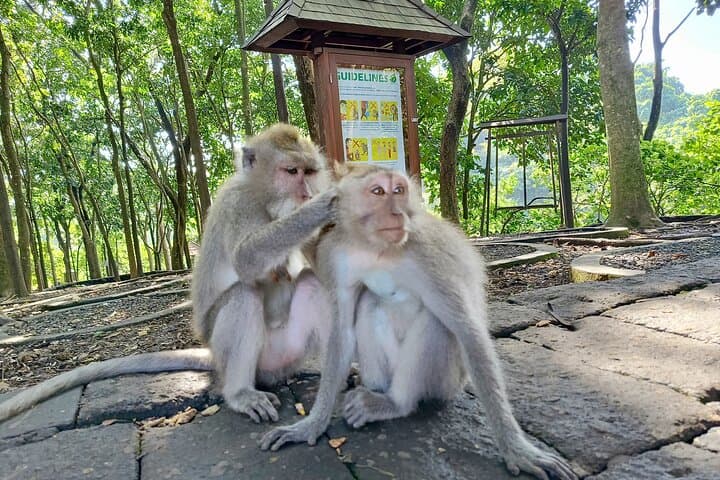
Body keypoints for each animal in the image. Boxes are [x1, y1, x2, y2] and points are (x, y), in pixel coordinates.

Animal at [0, 124, 337, 425]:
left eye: (310, 172)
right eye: (291, 171)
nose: (307, 194)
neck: (264, 200)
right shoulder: (236, 204)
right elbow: (247, 259)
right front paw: (322, 207)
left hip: (289, 350)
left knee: (311, 283)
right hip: (252, 357)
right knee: (242, 295)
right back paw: (240, 393)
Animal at [259, 164, 577, 480]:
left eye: (398, 190)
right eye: (378, 191)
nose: (397, 213)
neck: (376, 249)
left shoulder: (428, 255)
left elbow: (468, 332)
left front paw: (518, 450)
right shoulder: (336, 258)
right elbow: (342, 332)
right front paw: (310, 425)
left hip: (447, 382)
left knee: (436, 323)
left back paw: (396, 404)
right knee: (370, 304)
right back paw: (374, 392)